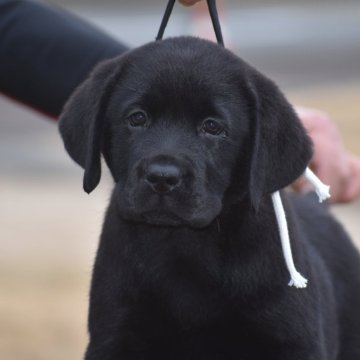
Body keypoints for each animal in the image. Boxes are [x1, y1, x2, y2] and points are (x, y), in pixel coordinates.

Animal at [58, 38, 360, 358]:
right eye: (137, 118)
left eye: (213, 127)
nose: (162, 177)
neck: (185, 245)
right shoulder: (116, 334)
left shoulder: (291, 339)